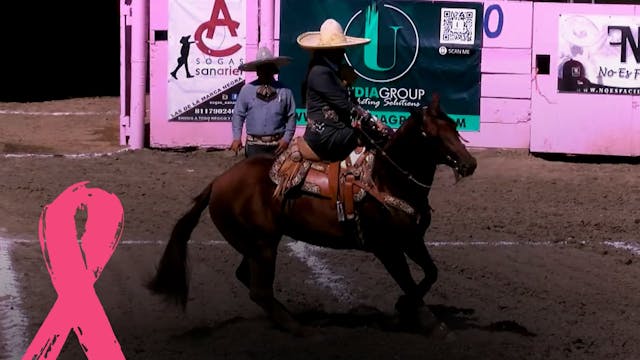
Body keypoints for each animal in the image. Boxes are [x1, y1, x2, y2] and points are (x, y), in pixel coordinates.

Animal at [146, 94, 476, 336]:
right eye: (431, 134)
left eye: (454, 127)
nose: (469, 163)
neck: (387, 179)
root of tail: (217, 183)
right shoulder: (387, 248)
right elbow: (408, 281)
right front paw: (429, 322)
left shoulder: (412, 240)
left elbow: (430, 273)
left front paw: (402, 308)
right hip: (263, 245)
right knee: (259, 290)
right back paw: (299, 327)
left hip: (255, 244)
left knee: (247, 278)